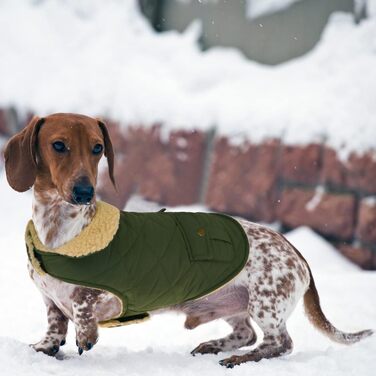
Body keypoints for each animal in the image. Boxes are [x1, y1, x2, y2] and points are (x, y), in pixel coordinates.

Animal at [3, 114, 374, 368]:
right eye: (58, 145)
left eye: (98, 148)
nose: (84, 192)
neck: (59, 231)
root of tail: (297, 252)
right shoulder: (50, 301)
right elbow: (55, 326)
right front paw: (45, 347)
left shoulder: (111, 293)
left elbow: (84, 306)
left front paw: (86, 335)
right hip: (234, 303)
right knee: (247, 333)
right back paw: (214, 346)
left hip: (265, 303)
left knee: (280, 342)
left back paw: (239, 359)